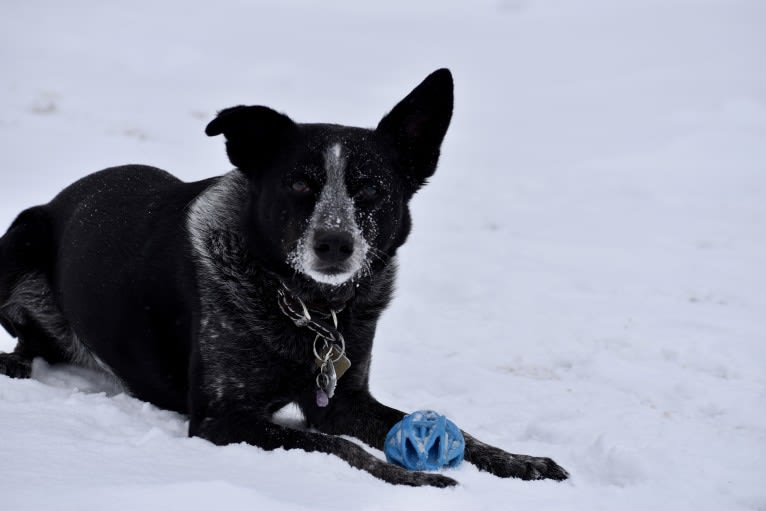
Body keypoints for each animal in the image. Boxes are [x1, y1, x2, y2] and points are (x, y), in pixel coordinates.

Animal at [0, 69, 568, 488]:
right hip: (20, 239)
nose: (334, 243)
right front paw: (415, 479)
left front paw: (521, 461)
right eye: (298, 184)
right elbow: (337, 447)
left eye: (371, 190)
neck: (307, 307)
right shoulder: (221, 417)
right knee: (28, 338)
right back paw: (18, 364)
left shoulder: (344, 400)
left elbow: (462, 434)